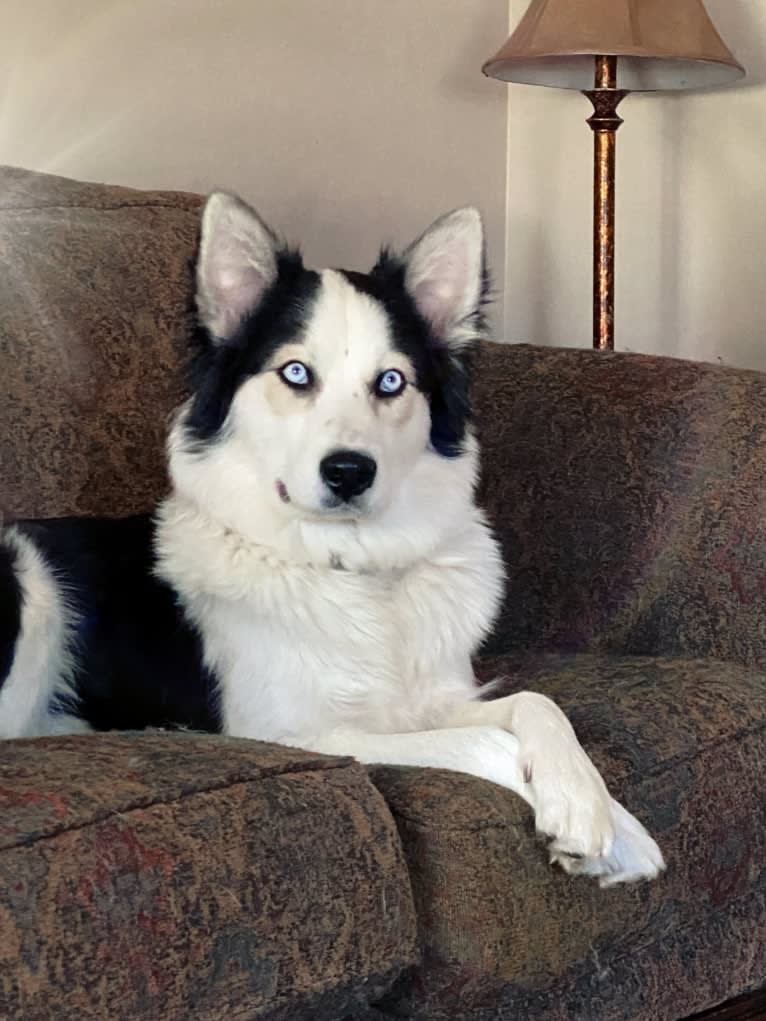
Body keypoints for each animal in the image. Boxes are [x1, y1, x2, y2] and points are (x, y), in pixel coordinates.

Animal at [0, 192, 665, 886]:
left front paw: (602, 815)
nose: (349, 472)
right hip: (28, 582)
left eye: (391, 381)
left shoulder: (432, 698)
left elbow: (537, 703)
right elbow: (492, 742)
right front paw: (598, 829)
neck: (353, 569)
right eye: (295, 373)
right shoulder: (294, 734)